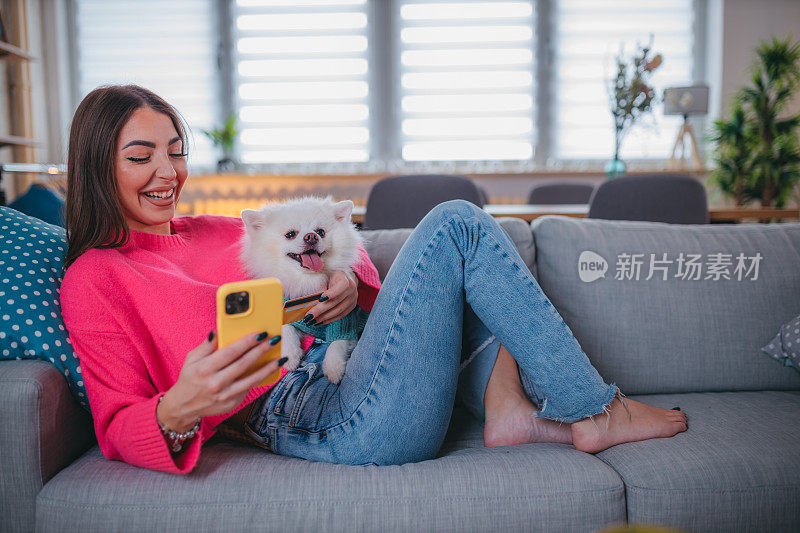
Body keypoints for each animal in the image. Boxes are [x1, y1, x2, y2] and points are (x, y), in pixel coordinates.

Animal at [236, 195, 364, 382]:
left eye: (321, 232)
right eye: (290, 234)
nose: (311, 236)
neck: (307, 279)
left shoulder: (345, 318)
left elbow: (337, 343)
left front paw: (334, 369)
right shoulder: (284, 309)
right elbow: (286, 329)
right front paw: (290, 356)